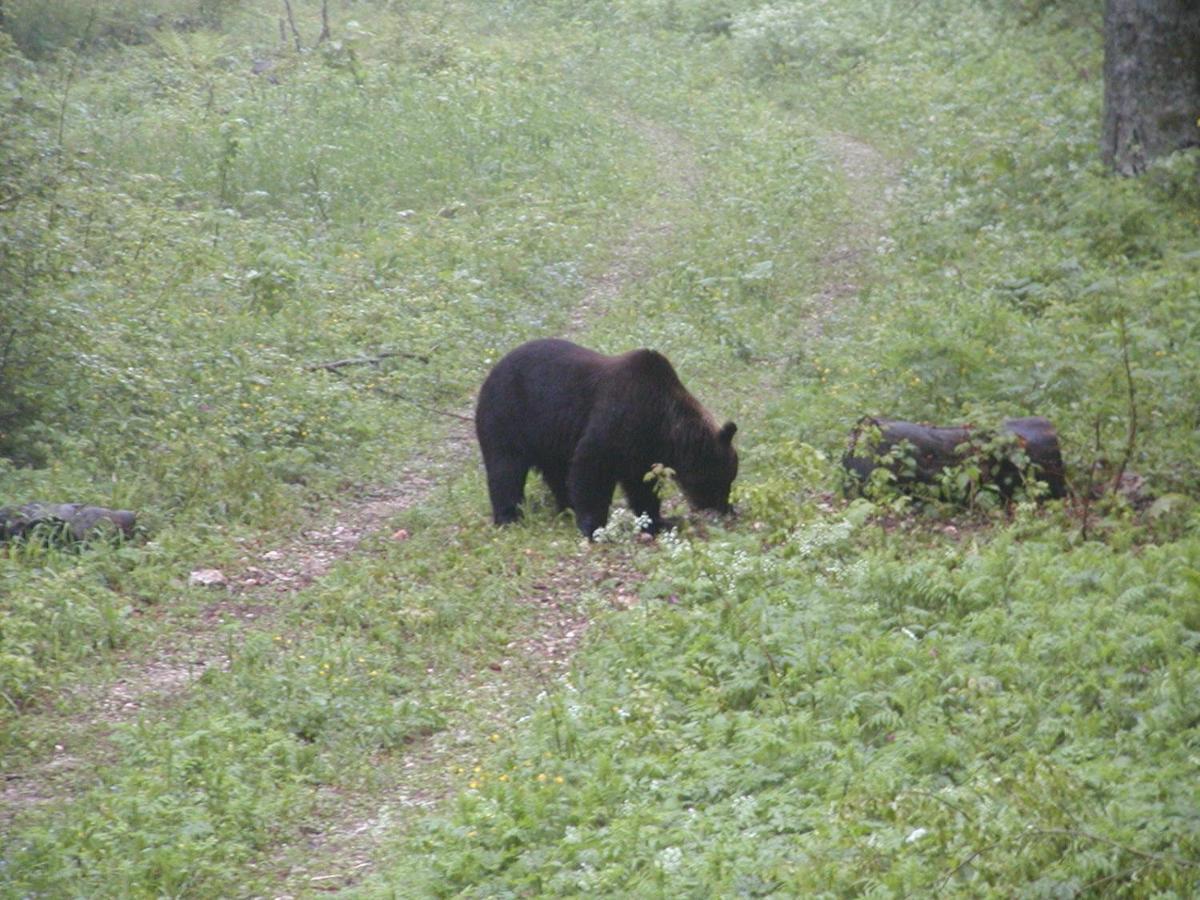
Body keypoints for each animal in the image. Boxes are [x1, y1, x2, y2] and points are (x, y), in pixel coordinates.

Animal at [472, 336, 734, 535]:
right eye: (720, 480)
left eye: (729, 479)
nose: (725, 507)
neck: (661, 422)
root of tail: (491, 371)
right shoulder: (619, 415)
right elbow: (592, 465)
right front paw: (595, 528)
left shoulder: (641, 447)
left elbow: (641, 485)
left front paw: (659, 521)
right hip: (509, 416)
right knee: (505, 468)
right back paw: (509, 517)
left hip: (550, 439)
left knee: (558, 473)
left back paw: (566, 507)